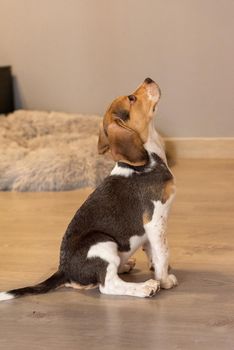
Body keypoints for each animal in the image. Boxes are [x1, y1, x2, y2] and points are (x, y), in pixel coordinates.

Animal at [0, 77, 177, 300]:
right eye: (132, 98)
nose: (148, 79)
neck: (146, 162)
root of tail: (64, 270)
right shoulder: (155, 221)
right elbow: (163, 252)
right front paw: (165, 280)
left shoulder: (149, 231)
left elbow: (153, 252)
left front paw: (158, 271)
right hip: (102, 243)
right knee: (108, 285)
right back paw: (145, 287)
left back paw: (125, 266)